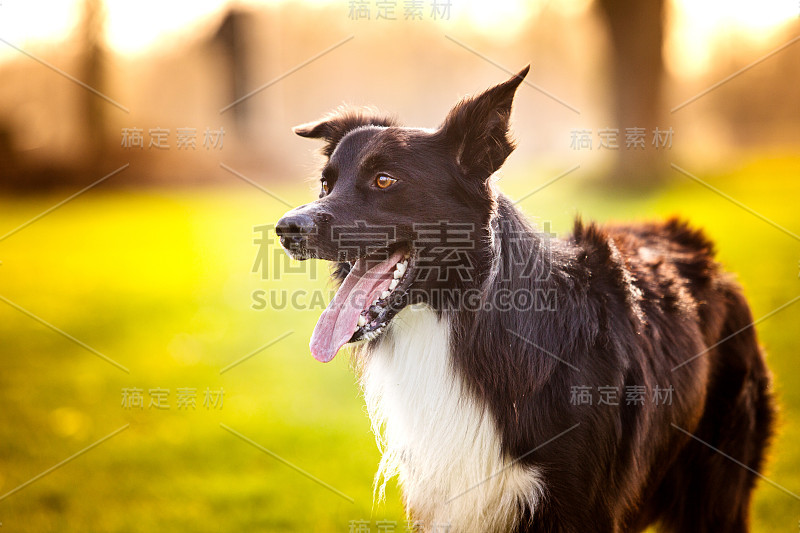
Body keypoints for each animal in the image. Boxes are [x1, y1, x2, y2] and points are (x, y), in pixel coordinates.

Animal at [276, 67, 776, 532]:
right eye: (325, 185)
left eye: (384, 180)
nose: (286, 229)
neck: (460, 321)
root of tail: (696, 245)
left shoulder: (580, 507)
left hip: (717, 492)